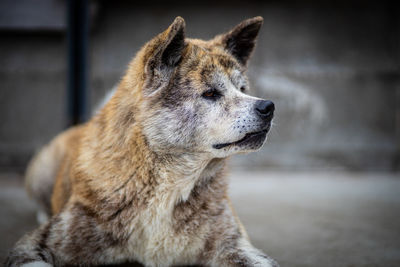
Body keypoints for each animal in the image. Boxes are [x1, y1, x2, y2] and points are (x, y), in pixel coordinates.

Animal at [8, 16, 278, 267]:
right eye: (210, 93)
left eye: (242, 89)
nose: (268, 107)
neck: (165, 183)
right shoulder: (33, 246)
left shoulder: (234, 245)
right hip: (40, 171)